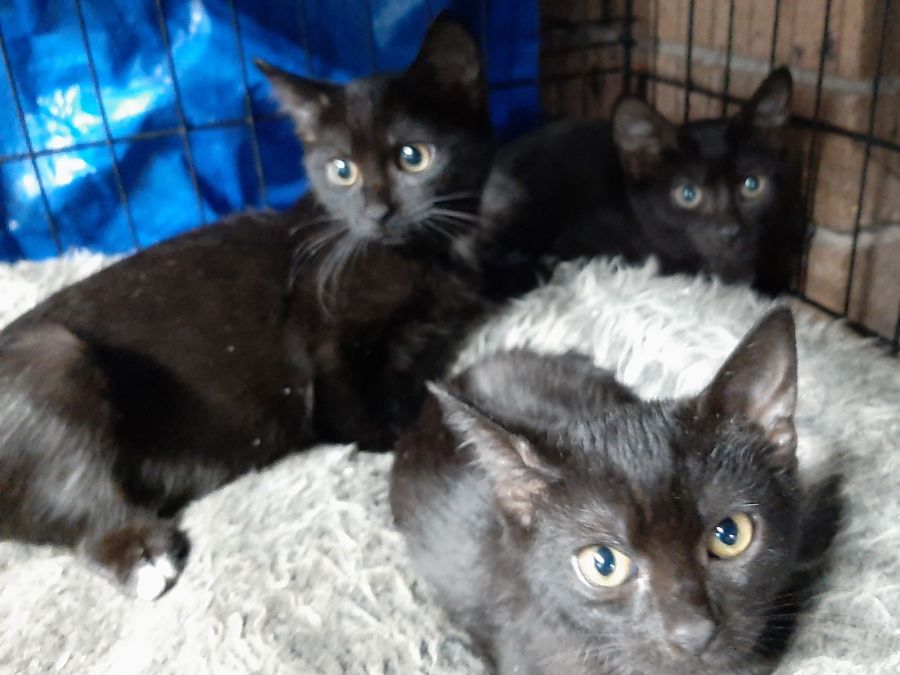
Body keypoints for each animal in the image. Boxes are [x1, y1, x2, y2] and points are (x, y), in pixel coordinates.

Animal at [0, 14, 492, 600]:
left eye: (414, 157)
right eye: (342, 170)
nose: (378, 212)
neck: (420, 258)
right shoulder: (325, 344)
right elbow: (357, 414)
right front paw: (405, 442)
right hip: (53, 354)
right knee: (72, 507)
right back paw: (140, 552)